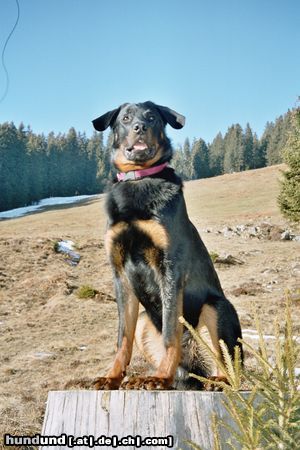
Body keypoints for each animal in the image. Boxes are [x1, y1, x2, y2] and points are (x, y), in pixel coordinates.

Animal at [92, 102, 244, 390]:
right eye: (125, 118)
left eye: (152, 117)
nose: (140, 127)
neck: (138, 180)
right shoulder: (120, 273)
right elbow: (122, 339)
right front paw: (112, 377)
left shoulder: (170, 267)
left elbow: (170, 333)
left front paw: (160, 376)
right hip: (145, 322)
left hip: (217, 308)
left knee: (230, 365)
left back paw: (213, 380)